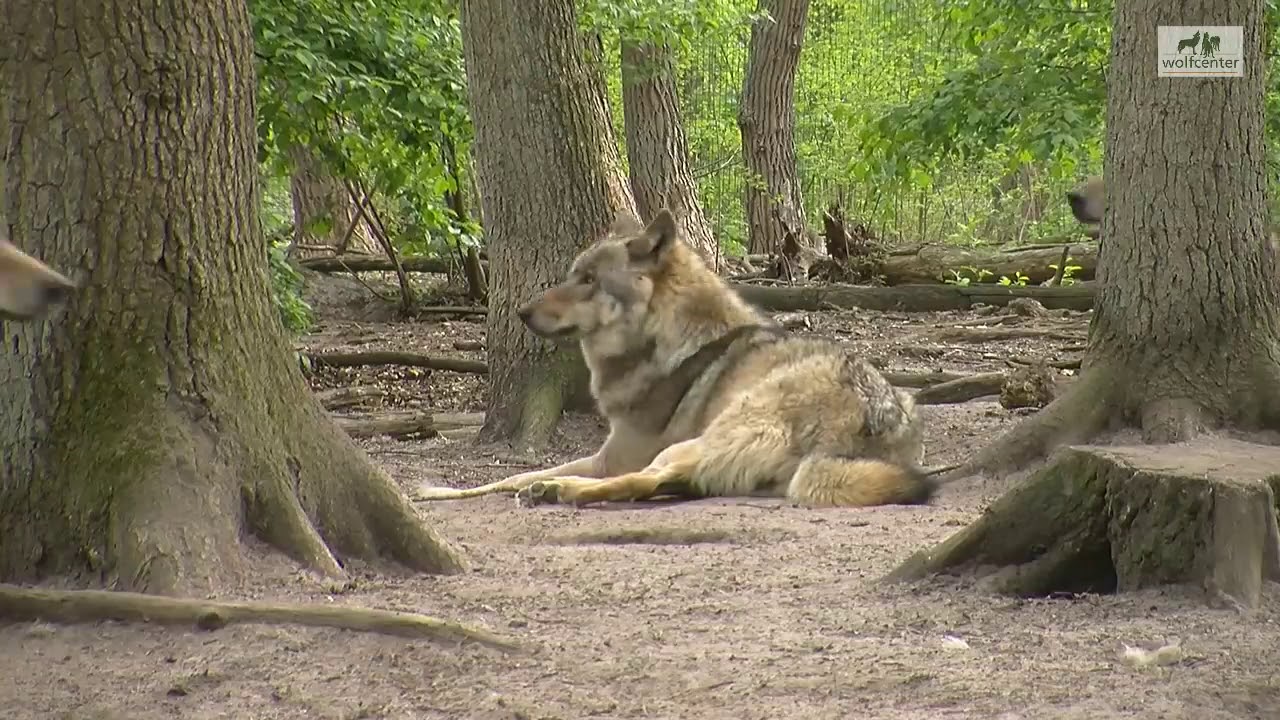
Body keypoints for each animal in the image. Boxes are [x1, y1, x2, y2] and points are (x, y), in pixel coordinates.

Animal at [417, 208, 936, 509]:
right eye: (572, 275)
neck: (664, 340)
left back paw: (562, 493)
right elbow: (517, 473)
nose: (522, 312)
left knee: (641, 480)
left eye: (588, 280)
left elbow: (512, 475)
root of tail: (868, 425)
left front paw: (440, 491)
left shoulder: (612, 456)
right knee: (653, 486)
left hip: (696, 442)